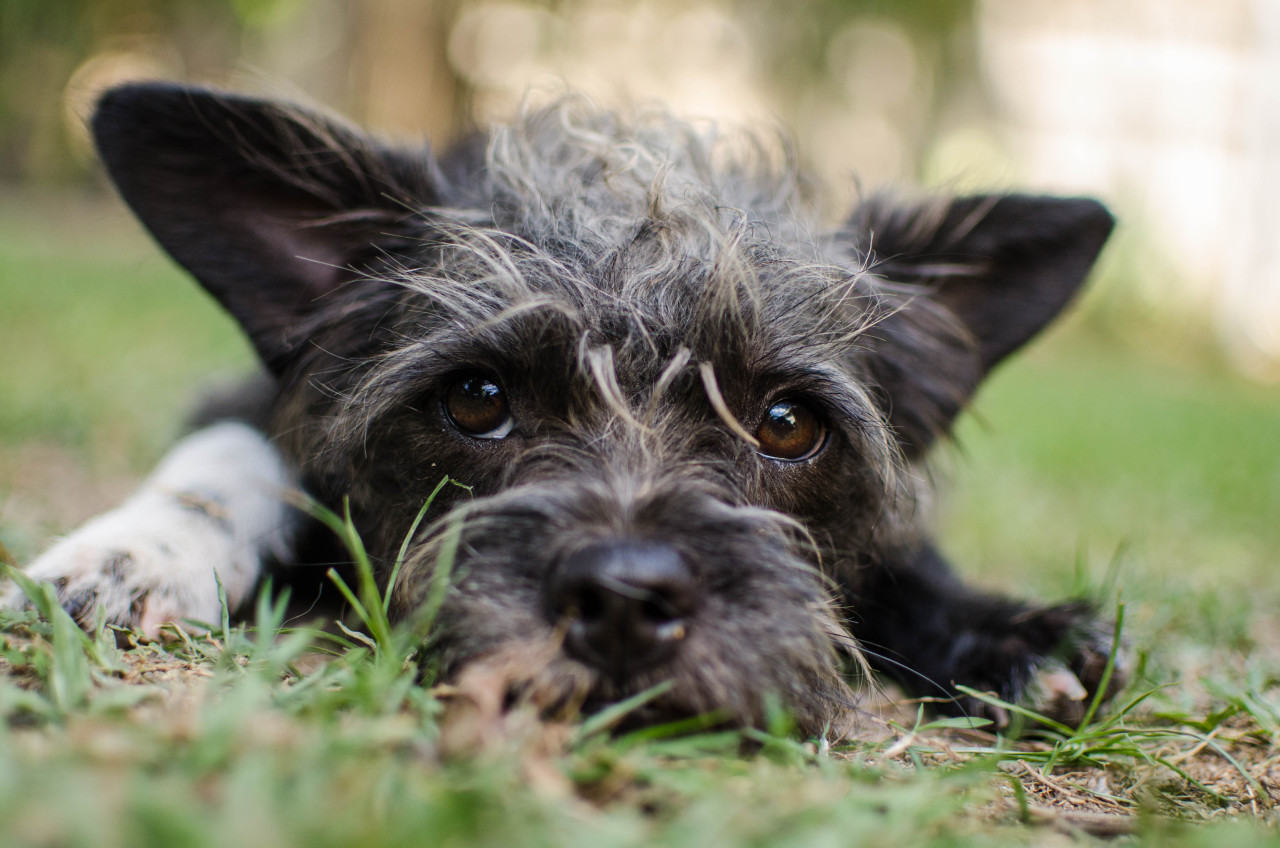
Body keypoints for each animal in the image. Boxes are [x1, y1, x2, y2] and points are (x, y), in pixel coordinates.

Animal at [0, 83, 1116, 742]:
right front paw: (132, 555)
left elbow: (903, 560)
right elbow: (224, 462)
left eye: (787, 424)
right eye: (476, 398)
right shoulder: (254, 403)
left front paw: (1006, 631)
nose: (623, 599)